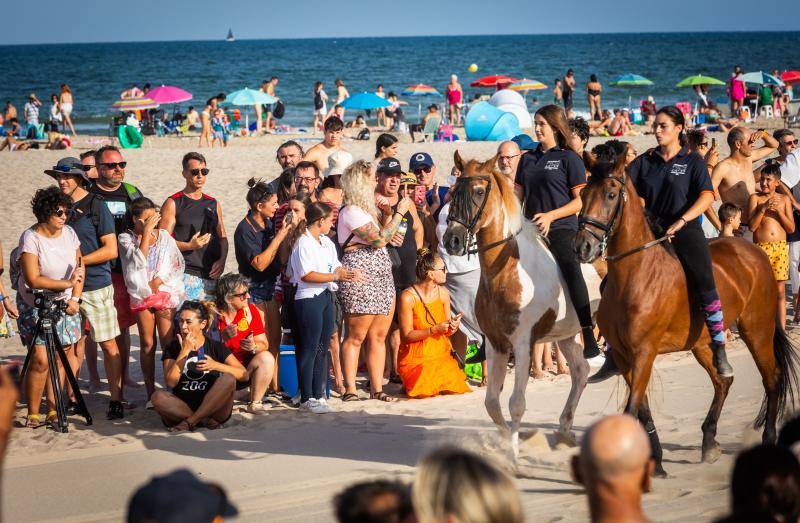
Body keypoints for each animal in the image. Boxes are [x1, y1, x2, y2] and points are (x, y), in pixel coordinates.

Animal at [444, 149, 600, 456]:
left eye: (479, 191)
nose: (452, 240)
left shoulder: (523, 343)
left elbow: (516, 403)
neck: (505, 271)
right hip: (565, 335)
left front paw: (514, 453)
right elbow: (492, 403)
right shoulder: (496, 344)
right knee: (580, 372)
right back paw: (564, 429)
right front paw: (508, 441)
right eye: (454, 192)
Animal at [580, 147, 796, 474]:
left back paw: (767, 438)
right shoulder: (624, 356)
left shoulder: (644, 352)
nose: (582, 247)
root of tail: (755, 251)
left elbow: (632, 408)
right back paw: (709, 441)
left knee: (771, 379)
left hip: (757, 330)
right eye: (583, 194)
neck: (635, 273)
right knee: (722, 381)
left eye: (610, 194)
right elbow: (642, 410)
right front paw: (656, 460)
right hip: (702, 343)